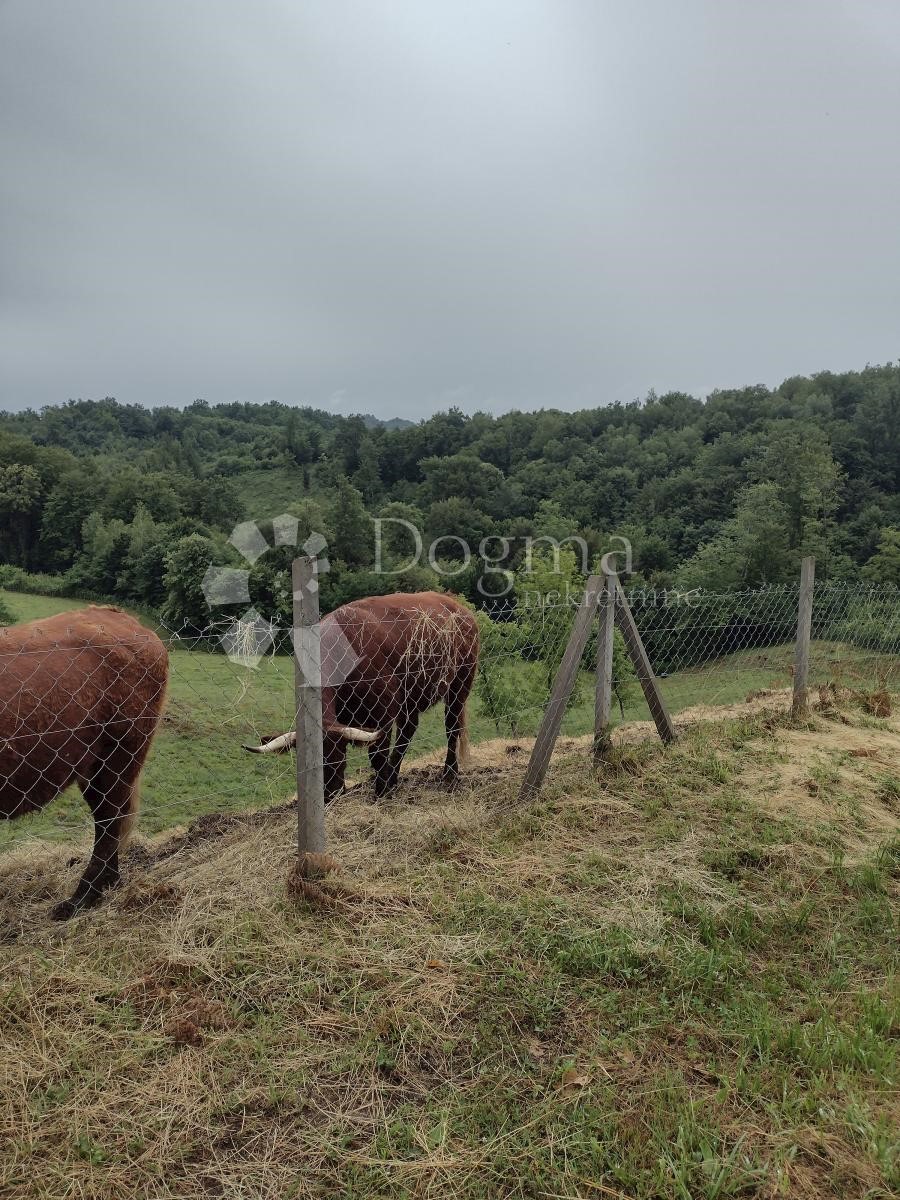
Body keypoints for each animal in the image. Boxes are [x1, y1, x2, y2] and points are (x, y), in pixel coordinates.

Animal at [0, 609, 169, 916]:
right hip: (92, 767)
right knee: (106, 819)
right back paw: (106, 883)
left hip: (120, 759)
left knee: (110, 820)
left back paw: (83, 897)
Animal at [243, 590, 482, 796]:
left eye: (338, 757)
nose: (329, 795)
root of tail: (457, 606)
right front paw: (384, 784)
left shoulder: (383, 712)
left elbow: (377, 755)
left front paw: (382, 791)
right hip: (410, 697)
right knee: (407, 731)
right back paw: (394, 777)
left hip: (459, 686)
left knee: (451, 727)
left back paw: (449, 773)